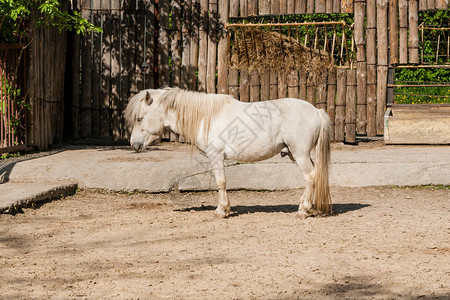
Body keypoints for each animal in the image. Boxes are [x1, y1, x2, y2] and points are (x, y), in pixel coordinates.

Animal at [123, 87, 330, 218]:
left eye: (140, 118)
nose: (134, 144)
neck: (206, 116)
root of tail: (315, 111)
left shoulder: (216, 156)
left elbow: (220, 182)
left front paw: (222, 210)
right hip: (296, 155)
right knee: (313, 176)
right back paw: (306, 207)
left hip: (300, 154)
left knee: (311, 177)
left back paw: (303, 211)